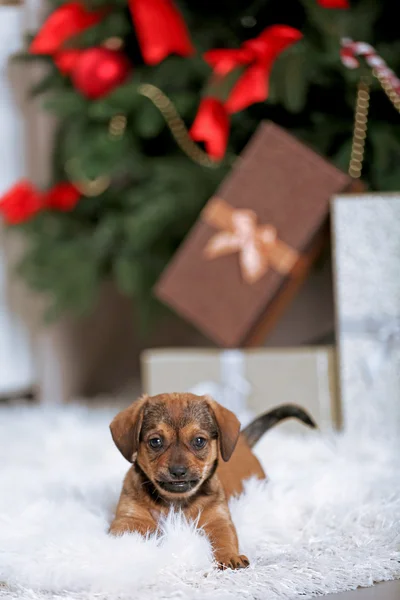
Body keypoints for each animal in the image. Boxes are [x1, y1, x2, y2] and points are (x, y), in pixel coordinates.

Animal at [109, 392, 316, 568]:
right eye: (155, 442)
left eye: (199, 441)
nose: (178, 471)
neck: (176, 503)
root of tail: (242, 440)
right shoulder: (127, 520)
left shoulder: (218, 520)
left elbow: (223, 540)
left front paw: (229, 557)